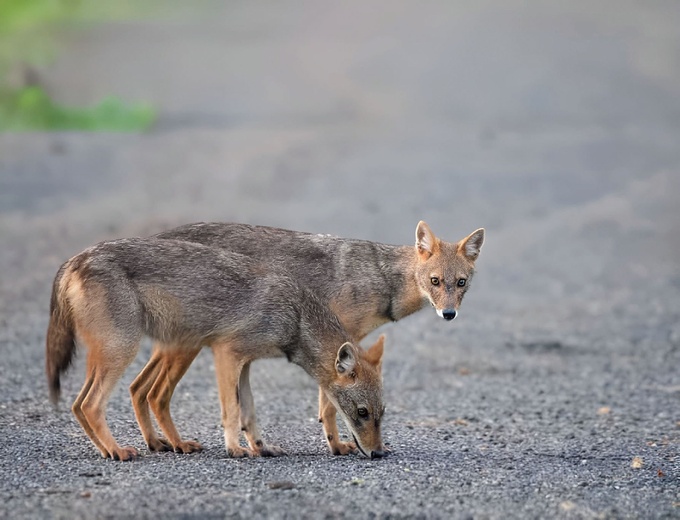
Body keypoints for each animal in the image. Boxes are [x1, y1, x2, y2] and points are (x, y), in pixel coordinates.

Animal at [45, 238, 386, 462]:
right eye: (362, 413)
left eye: (381, 414)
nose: (379, 453)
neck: (296, 314)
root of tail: (74, 260)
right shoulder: (227, 353)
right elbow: (231, 411)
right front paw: (235, 449)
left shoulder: (245, 363)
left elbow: (249, 412)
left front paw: (261, 447)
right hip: (126, 351)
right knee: (92, 404)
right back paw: (117, 450)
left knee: (79, 404)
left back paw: (112, 450)